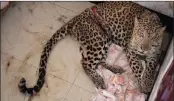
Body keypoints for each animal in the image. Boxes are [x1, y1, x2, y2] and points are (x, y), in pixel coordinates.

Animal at [18, 1, 165, 95]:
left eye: (153, 38)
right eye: (141, 35)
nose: (143, 48)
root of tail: (75, 18)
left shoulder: (154, 54)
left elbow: (150, 68)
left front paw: (147, 82)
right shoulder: (130, 50)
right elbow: (137, 66)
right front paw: (143, 84)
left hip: (103, 41)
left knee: (95, 61)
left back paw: (116, 69)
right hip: (98, 38)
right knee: (85, 63)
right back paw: (99, 80)